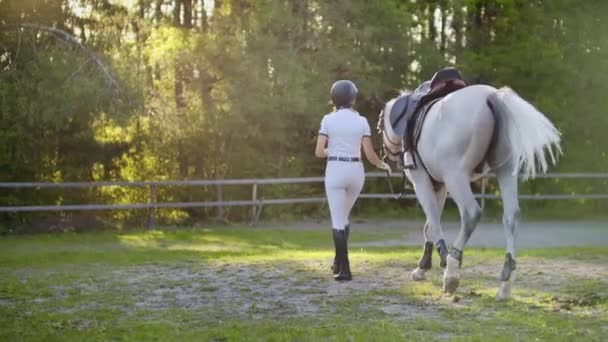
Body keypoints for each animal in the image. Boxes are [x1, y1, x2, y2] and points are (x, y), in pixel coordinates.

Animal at [378, 85, 564, 300]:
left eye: (379, 125)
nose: (386, 157)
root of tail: (491, 97)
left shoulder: (422, 182)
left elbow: (432, 224)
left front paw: (439, 262)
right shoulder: (440, 186)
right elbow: (430, 225)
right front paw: (422, 268)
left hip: (456, 176)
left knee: (471, 214)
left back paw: (452, 270)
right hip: (505, 171)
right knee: (511, 217)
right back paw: (505, 283)